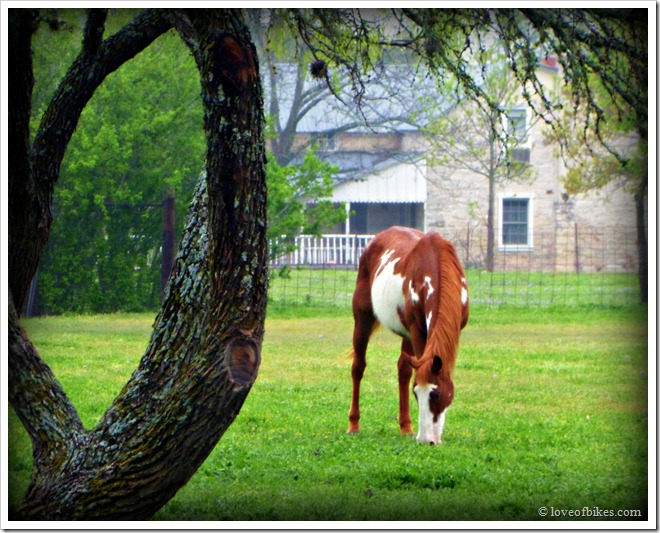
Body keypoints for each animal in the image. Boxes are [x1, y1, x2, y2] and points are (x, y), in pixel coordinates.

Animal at [348, 226, 469, 445]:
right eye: (416, 393)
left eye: (436, 395)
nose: (427, 440)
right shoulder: (417, 330)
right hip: (363, 320)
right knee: (358, 367)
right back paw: (353, 425)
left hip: (406, 334)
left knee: (403, 370)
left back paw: (406, 427)